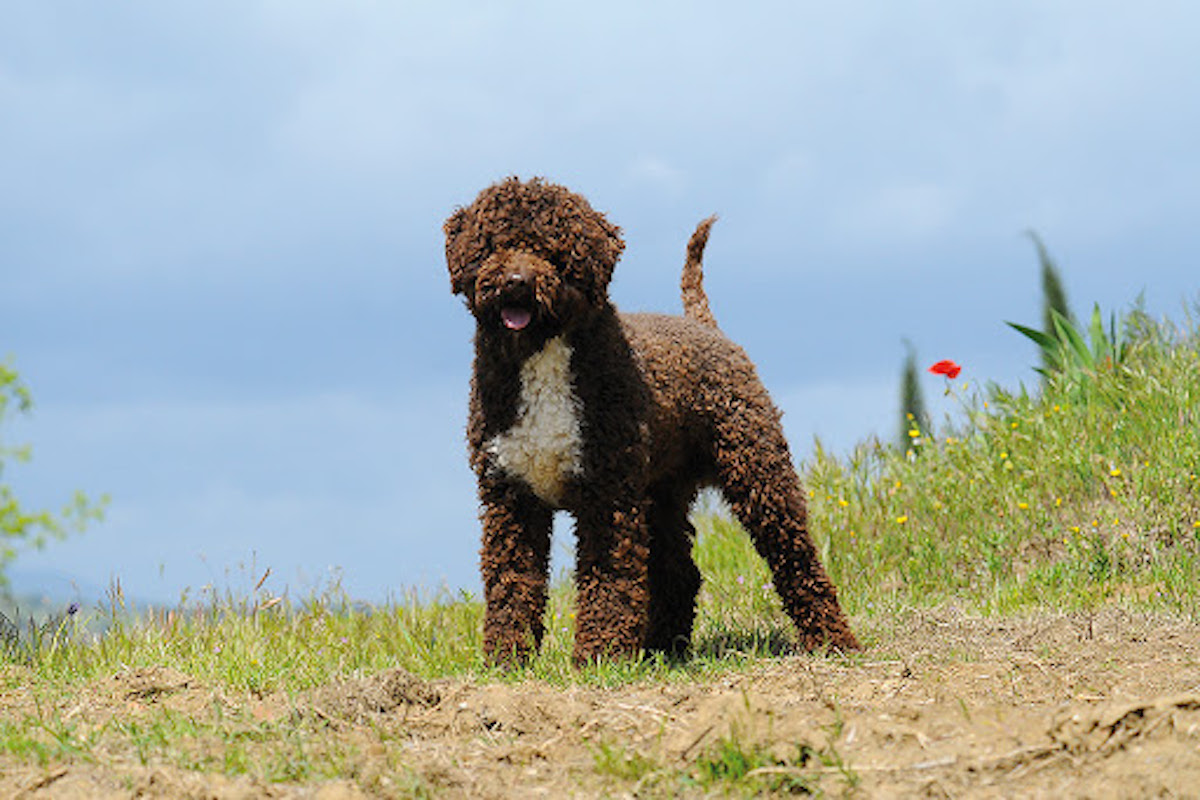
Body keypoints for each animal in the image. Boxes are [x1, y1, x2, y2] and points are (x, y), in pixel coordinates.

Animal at [446, 178, 859, 666]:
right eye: (495, 244)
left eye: (551, 247)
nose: (516, 283)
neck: (542, 354)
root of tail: (706, 326)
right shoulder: (510, 494)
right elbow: (512, 581)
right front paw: (508, 659)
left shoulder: (607, 493)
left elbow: (609, 579)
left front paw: (600, 656)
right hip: (660, 494)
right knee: (681, 573)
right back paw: (664, 647)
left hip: (758, 471)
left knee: (795, 556)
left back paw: (832, 639)